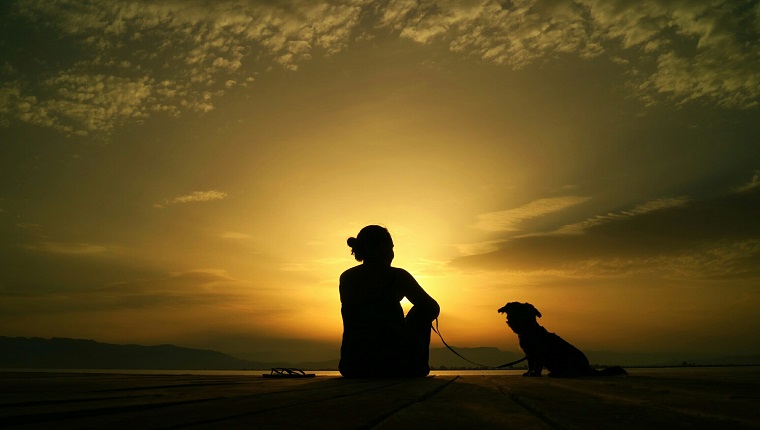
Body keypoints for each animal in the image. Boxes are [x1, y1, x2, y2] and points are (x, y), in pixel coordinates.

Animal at [496, 302, 628, 376]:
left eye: (527, 314)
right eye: (515, 312)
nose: (519, 321)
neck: (529, 331)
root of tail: (587, 369)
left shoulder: (538, 353)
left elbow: (537, 364)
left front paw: (535, 374)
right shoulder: (529, 353)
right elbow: (530, 364)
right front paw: (529, 372)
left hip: (570, 359)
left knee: (574, 373)